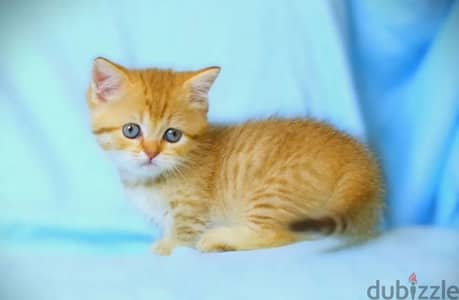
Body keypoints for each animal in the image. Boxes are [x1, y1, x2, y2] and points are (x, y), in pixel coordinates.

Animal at [86, 58, 384, 255]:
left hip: (275, 190)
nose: (150, 153)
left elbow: (180, 238)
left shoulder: (191, 214)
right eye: (131, 130)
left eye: (172, 135)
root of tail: (358, 159)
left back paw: (219, 239)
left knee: (280, 235)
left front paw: (163, 248)